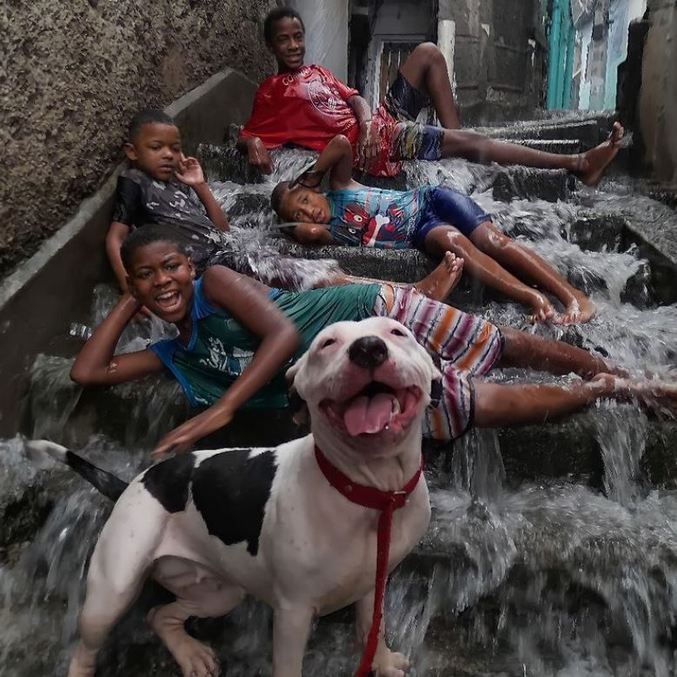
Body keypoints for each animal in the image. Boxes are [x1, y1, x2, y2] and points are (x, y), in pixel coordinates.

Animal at [30, 316, 438, 676]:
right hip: (112, 591)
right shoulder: (293, 613)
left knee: (159, 614)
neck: (371, 492)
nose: (368, 348)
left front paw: (381, 663)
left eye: (397, 332)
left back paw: (190, 654)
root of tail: (134, 481)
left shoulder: (375, 585)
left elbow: (374, 628)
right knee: (87, 647)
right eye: (327, 343)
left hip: (218, 591)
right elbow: (288, 668)